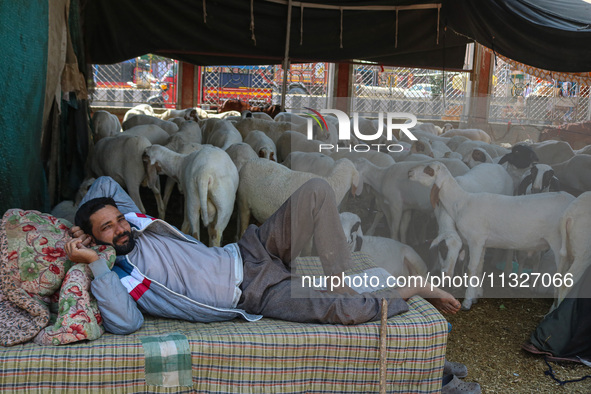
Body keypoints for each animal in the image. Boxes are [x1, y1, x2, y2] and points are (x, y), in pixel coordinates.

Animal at [410, 162, 576, 310]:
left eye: (428, 170)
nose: (409, 172)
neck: (461, 201)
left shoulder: (475, 240)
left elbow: (471, 268)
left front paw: (467, 302)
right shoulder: (482, 242)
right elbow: (479, 268)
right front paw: (475, 296)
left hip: (559, 245)